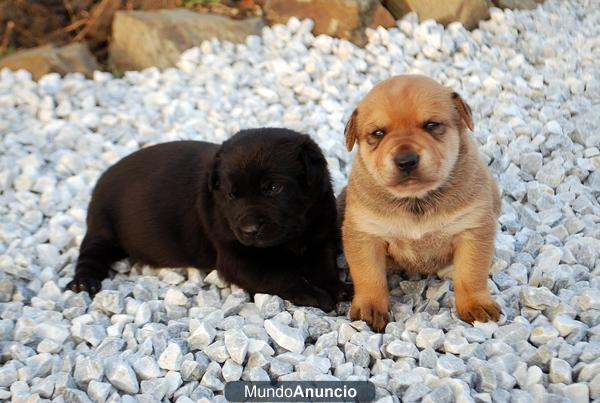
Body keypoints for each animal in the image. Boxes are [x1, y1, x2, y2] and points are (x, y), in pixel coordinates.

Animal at [67, 128, 350, 310]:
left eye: (273, 188)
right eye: (231, 194)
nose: (249, 229)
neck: (293, 235)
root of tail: (102, 177)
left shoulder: (319, 239)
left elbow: (324, 268)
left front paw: (338, 288)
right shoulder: (239, 259)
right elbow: (282, 277)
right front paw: (314, 295)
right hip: (102, 227)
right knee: (91, 253)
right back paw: (84, 282)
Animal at [342, 75, 502, 332]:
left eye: (431, 125)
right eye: (378, 133)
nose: (406, 160)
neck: (416, 200)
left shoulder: (473, 228)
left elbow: (471, 273)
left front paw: (476, 304)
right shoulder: (364, 234)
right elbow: (368, 275)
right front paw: (370, 307)